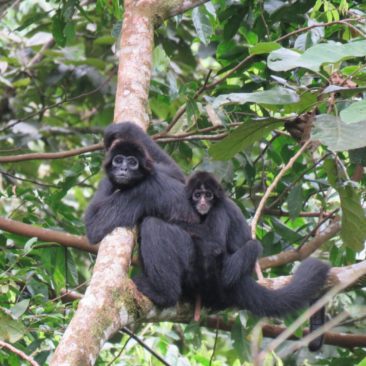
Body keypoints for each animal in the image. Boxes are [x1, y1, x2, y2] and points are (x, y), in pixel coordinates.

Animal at [85, 122, 200, 306]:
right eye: (118, 160)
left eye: (132, 162)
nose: (123, 168)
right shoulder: (164, 171)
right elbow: (181, 176)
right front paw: (123, 128)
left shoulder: (139, 192)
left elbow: (94, 227)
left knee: (153, 225)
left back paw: (164, 294)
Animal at [182, 170, 330, 322]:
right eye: (197, 195)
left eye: (208, 195)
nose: (203, 202)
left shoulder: (219, 208)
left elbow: (215, 240)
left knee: (251, 245)